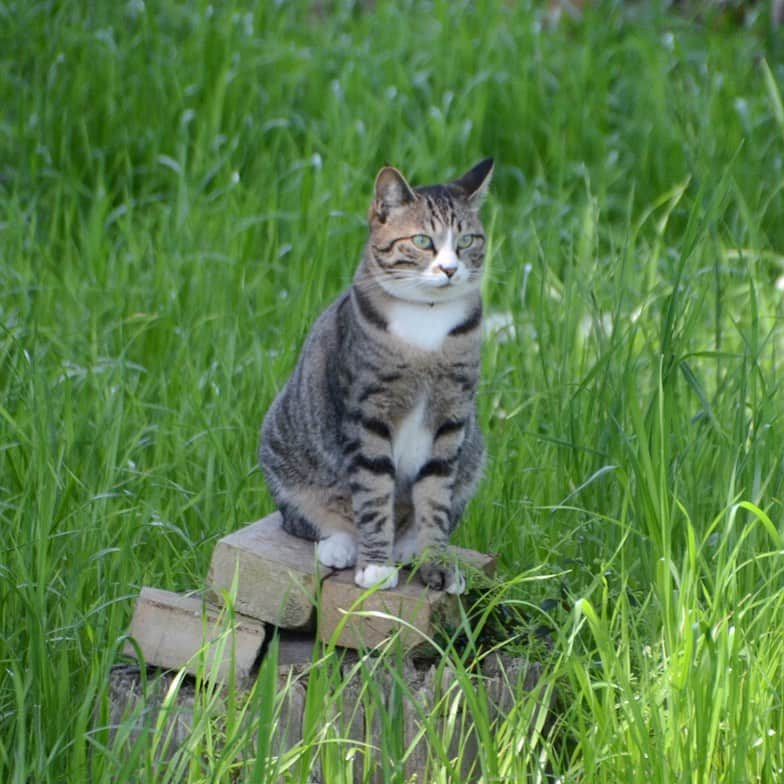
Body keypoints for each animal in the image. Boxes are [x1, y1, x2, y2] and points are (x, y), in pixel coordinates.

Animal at [260, 158, 494, 596]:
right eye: (422, 240)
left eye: (468, 240)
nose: (450, 269)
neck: (427, 324)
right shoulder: (367, 412)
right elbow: (372, 494)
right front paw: (374, 566)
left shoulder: (452, 416)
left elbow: (436, 497)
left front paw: (436, 562)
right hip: (282, 447)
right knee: (306, 518)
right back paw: (341, 545)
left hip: (474, 451)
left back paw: (407, 544)